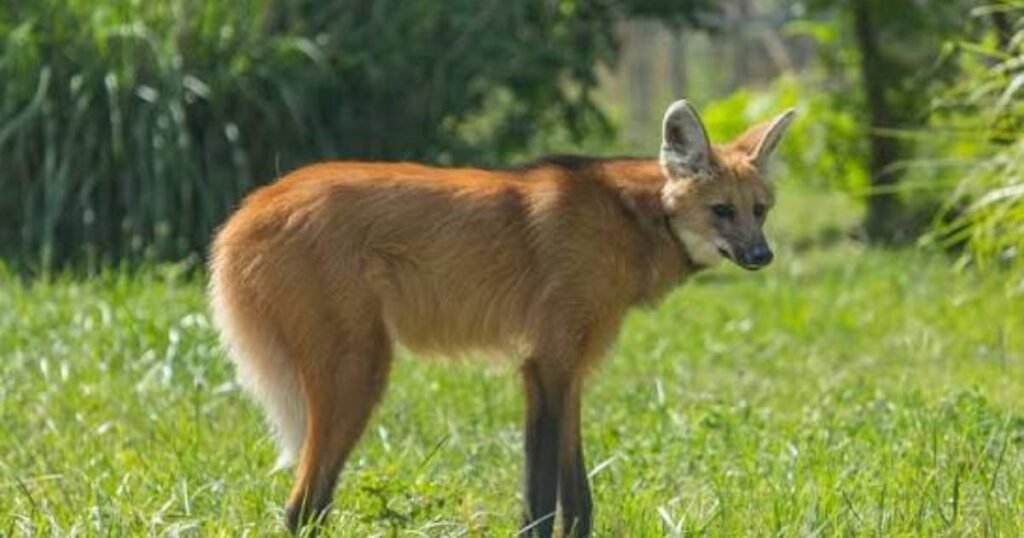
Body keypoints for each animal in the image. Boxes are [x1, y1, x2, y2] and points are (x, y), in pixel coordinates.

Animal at [208, 100, 794, 536]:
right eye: (722, 211)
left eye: (760, 210)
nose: (762, 256)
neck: (634, 219)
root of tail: (249, 209)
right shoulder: (547, 364)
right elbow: (540, 500)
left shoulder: (566, 369)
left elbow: (576, 500)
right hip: (359, 372)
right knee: (303, 506)